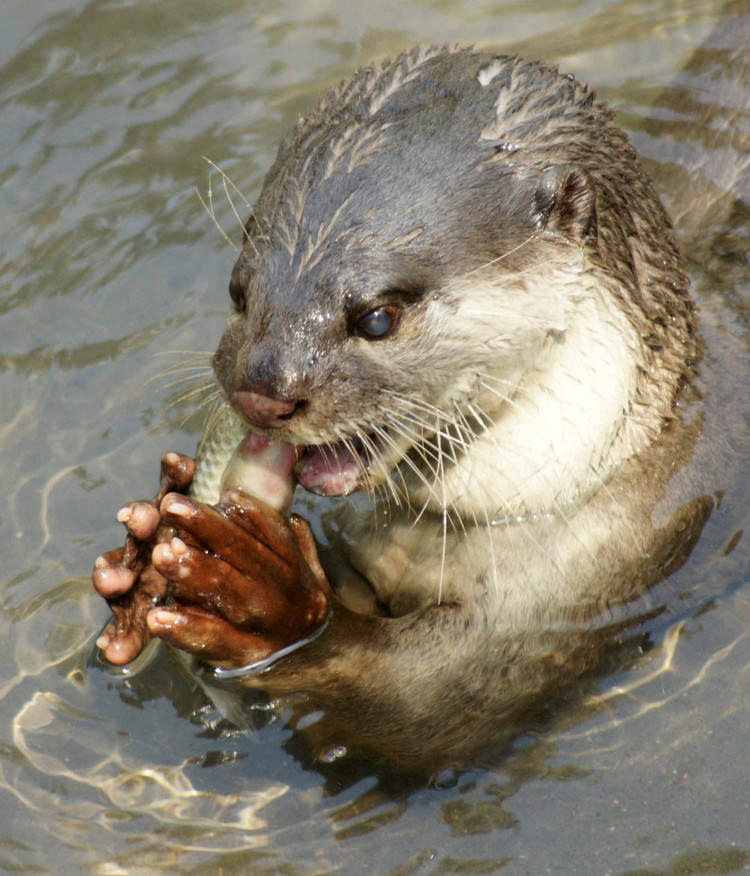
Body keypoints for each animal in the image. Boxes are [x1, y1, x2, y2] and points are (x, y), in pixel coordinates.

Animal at [91, 49, 712, 772]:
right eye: (238, 291)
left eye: (378, 317)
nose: (260, 391)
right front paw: (139, 558)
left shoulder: (594, 581)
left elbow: (422, 711)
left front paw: (263, 602)